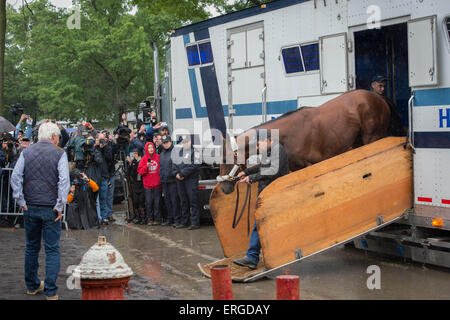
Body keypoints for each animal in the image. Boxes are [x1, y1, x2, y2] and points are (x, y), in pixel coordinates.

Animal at [220, 90, 392, 195]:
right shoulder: (295, 168)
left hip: (372, 138)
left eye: (226, 159)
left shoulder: (311, 165)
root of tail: (379, 98)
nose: (223, 188)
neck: (290, 135)